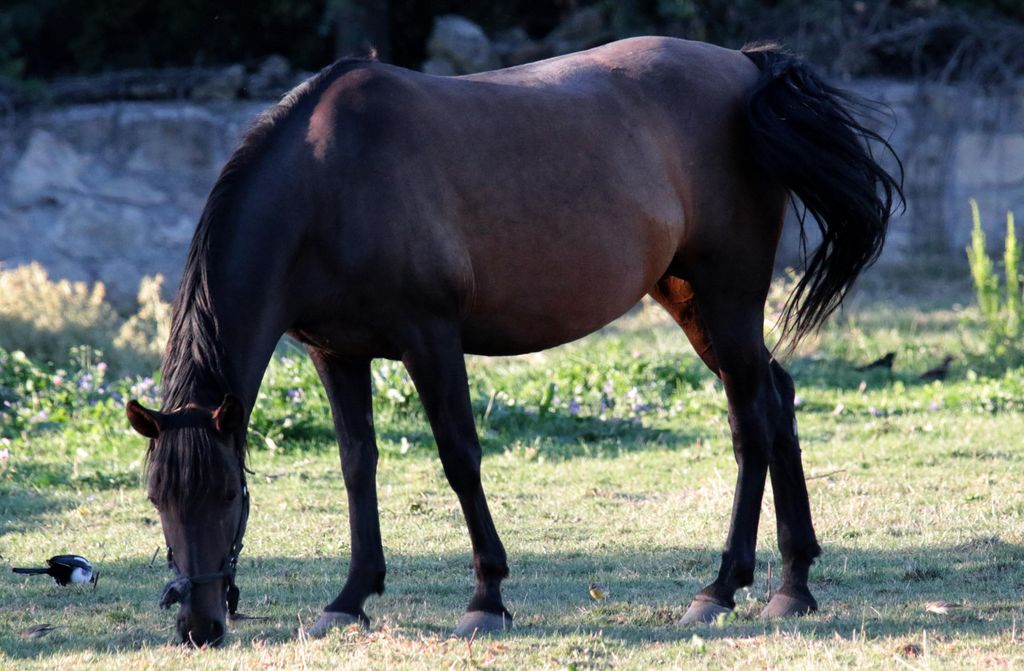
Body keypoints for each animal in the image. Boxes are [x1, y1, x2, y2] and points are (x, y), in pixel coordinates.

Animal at [125, 35, 902, 646]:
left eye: (229, 495)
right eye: (157, 498)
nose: (199, 625)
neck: (329, 182)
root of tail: (744, 68)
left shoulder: (430, 339)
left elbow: (460, 458)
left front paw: (486, 598)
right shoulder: (336, 353)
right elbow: (356, 464)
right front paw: (349, 598)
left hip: (727, 296)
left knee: (750, 421)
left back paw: (722, 587)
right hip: (689, 299)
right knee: (777, 396)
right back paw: (790, 584)